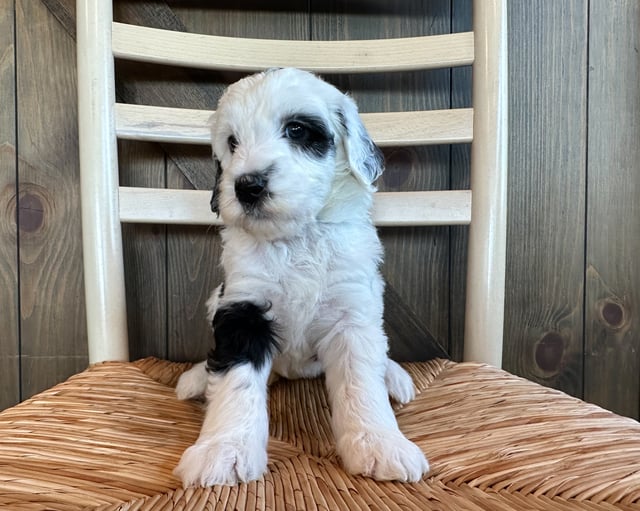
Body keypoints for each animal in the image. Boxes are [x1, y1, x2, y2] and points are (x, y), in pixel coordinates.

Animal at [174, 68, 430, 488]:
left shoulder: (352, 313)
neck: (298, 237)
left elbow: (361, 382)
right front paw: (224, 449)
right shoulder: (241, 306)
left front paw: (378, 444)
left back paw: (393, 376)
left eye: (296, 130)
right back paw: (197, 378)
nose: (247, 186)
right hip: (216, 297)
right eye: (232, 143)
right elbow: (235, 381)